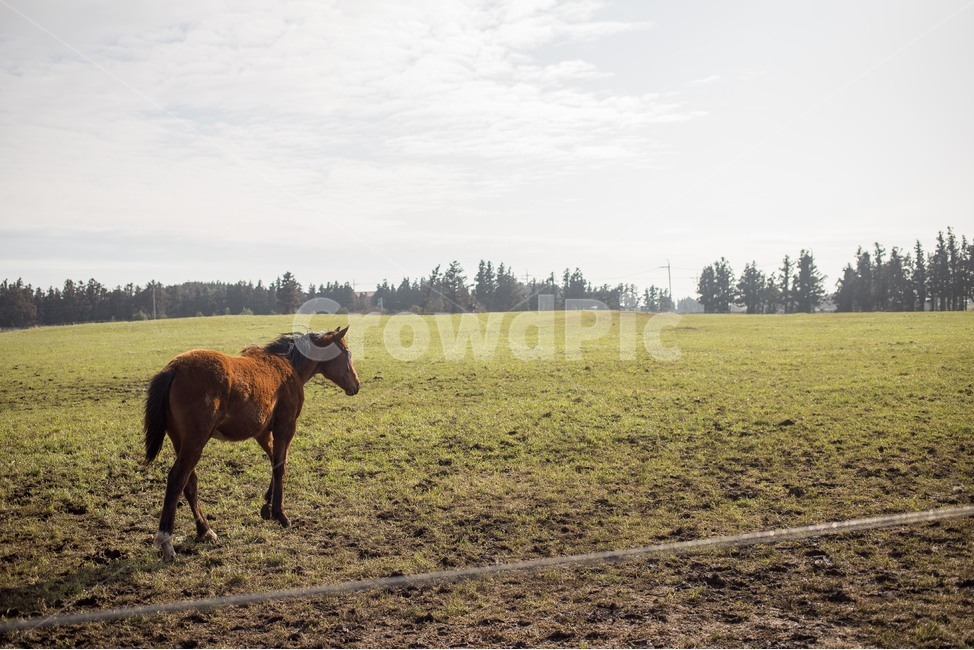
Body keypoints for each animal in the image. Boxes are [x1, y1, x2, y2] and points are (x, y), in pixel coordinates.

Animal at [143, 327, 360, 562]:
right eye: (347, 354)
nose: (356, 385)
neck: (286, 365)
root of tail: (173, 369)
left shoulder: (262, 432)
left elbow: (274, 462)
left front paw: (267, 504)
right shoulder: (285, 427)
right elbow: (280, 467)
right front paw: (280, 514)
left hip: (180, 441)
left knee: (189, 482)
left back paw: (205, 530)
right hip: (195, 442)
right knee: (177, 479)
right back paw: (167, 541)